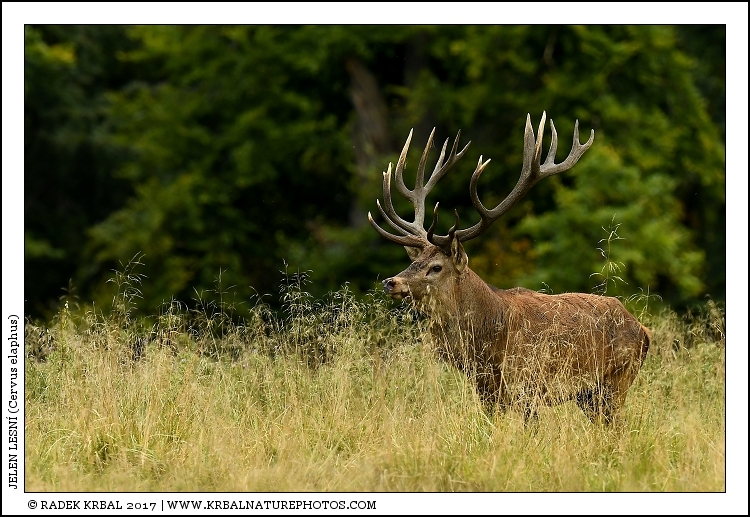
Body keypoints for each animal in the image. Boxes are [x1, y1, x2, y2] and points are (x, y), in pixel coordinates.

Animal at [368, 112, 650, 425]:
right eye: (412, 262)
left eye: (436, 267)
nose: (391, 282)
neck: (485, 344)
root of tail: (643, 330)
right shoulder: (486, 390)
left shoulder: (528, 384)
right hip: (588, 395)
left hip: (616, 381)